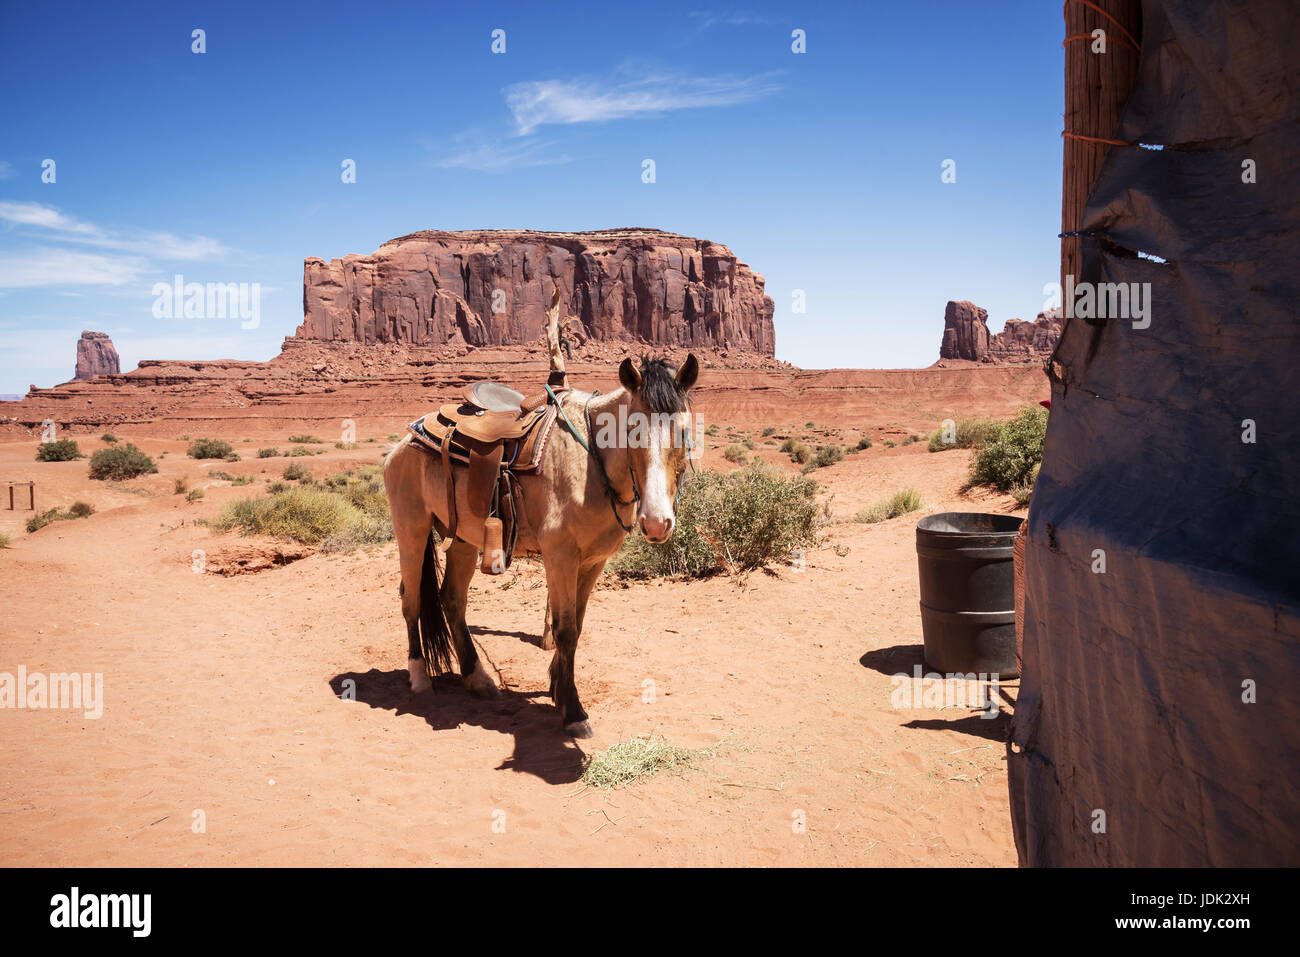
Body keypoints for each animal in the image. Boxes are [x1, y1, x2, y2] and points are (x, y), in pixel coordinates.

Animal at [379, 330, 696, 738]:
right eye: (630, 431)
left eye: (683, 431)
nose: (657, 523)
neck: (591, 462)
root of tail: (403, 442)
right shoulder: (560, 557)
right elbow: (565, 630)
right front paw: (573, 710)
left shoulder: (593, 562)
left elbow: (577, 624)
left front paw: (558, 689)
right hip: (411, 530)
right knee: (412, 600)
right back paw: (419, 678)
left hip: (464, 539)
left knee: (452, 600)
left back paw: (477, 678)